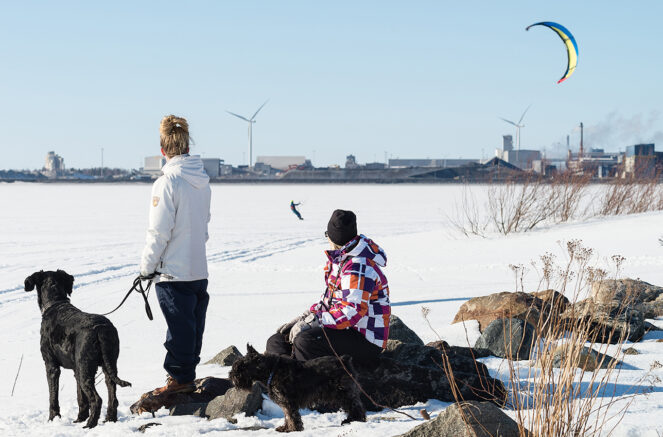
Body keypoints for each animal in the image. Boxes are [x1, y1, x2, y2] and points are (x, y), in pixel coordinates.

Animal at [25, 268, 131, 428]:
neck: (55, 302)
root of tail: (100, 329)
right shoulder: (76, 369)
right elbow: (80, 396)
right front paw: (80, 417)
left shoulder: (51, 366)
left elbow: (53, 396)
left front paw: (53, 418)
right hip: (107, 365)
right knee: (112, 393)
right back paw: (109, 419)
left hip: (85, 369)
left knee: (97, 399)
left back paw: (90, 424)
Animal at [231, 344, 368, 432]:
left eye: (241, 367)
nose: (231, 375)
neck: (271, 371)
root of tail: (344, 360)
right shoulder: (285, 403)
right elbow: (287, 416)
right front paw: (286, 428)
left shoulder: (288, 402)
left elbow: (291, 416)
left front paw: (293, 429)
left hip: (343, 393)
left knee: (355, 406)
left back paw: (354, 420)